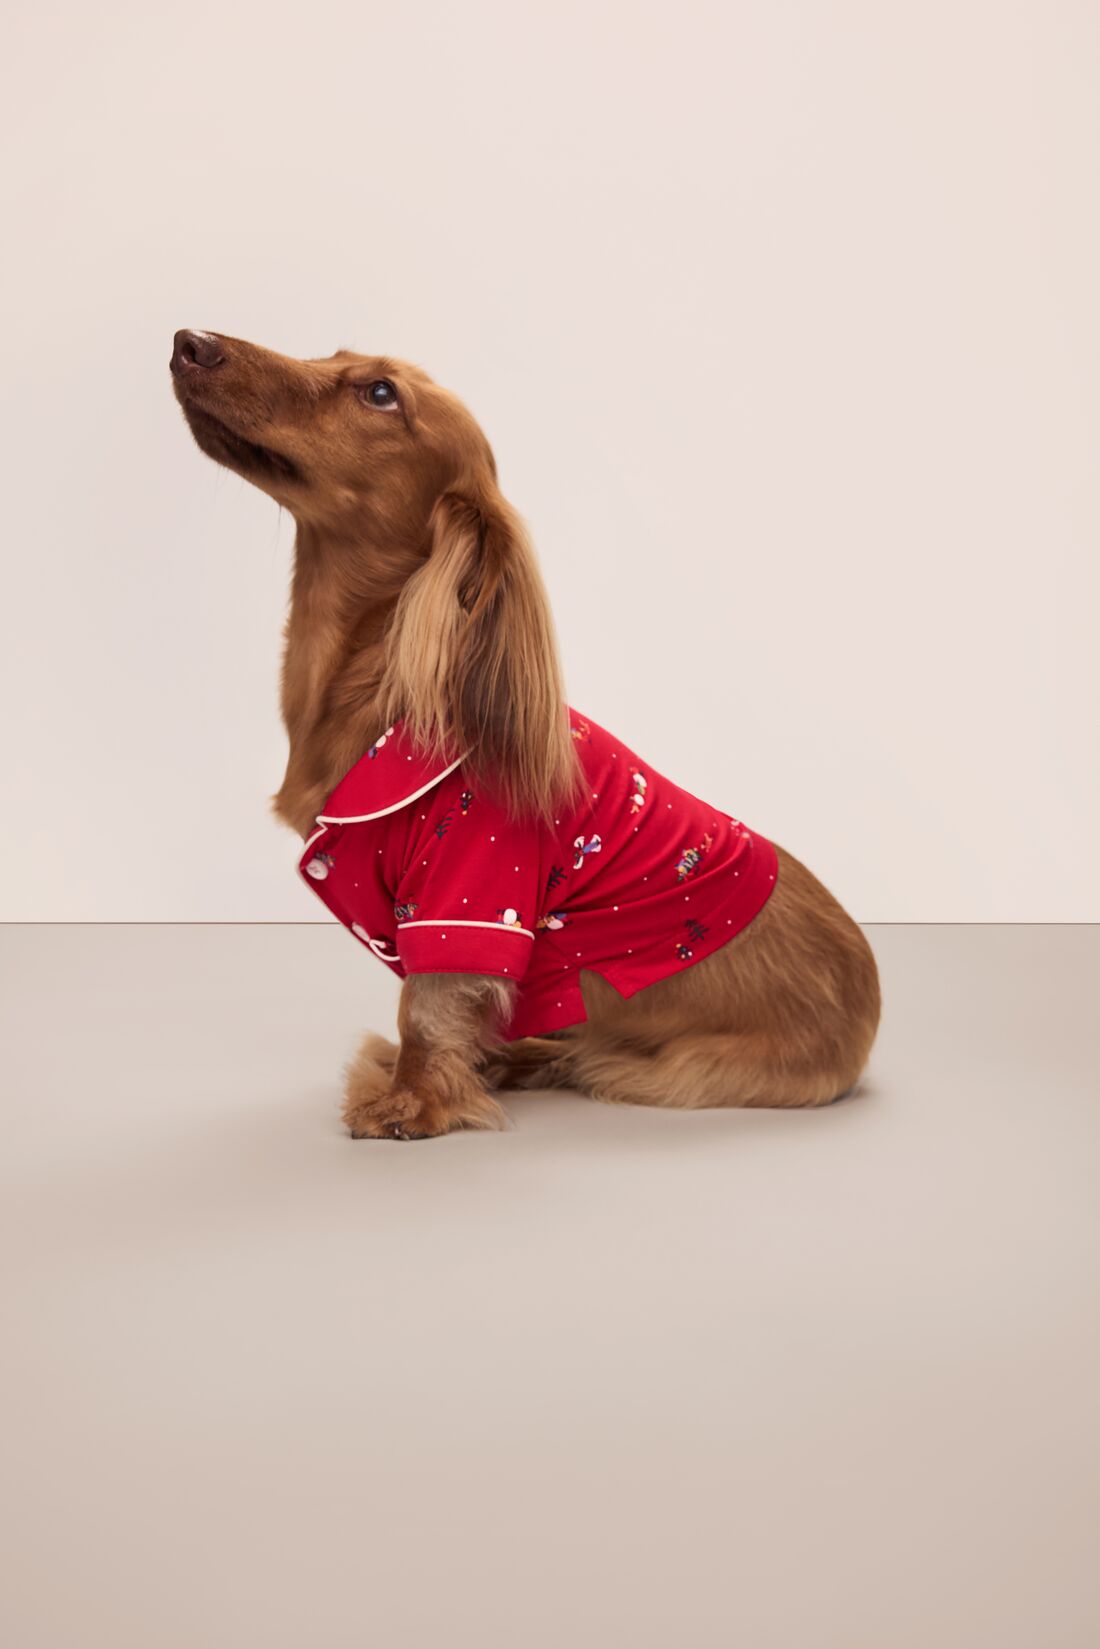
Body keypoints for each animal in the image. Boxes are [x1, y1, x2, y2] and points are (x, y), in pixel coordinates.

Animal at [169, 328, 877, 1141]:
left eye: (380, 393)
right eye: (337, 357)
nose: (190, 342)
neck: (378, 680)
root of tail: (869, 1012)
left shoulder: (468, 887)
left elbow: (427, 1007)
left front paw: (411, 1099)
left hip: (673, 1068)